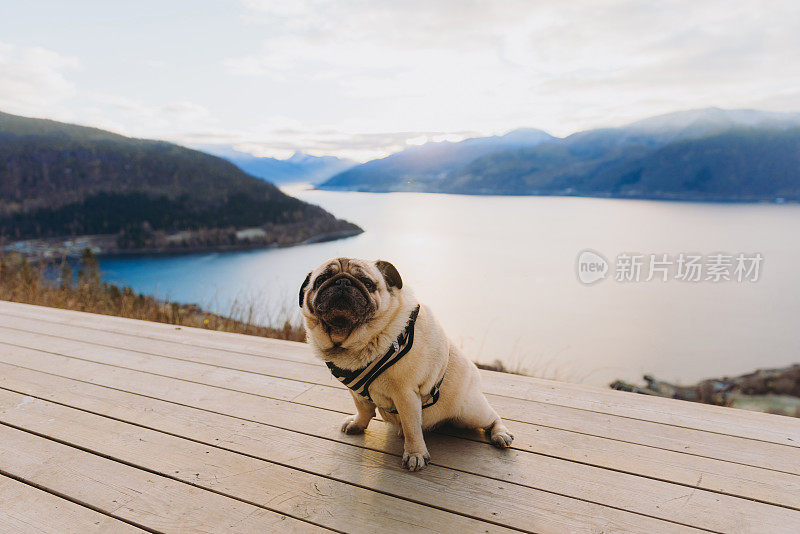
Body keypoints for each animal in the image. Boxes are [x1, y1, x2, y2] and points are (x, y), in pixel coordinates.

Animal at [298, 260, 512, 474]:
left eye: (367, 283)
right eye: (322, 280)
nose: (343, 282)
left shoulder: (405, 394)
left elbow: (412, 427)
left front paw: (415, 454)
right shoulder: (356, 393)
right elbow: (364, 409)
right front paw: (358, 424)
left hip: (469, 411)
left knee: (493, 418)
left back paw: (500, 434)